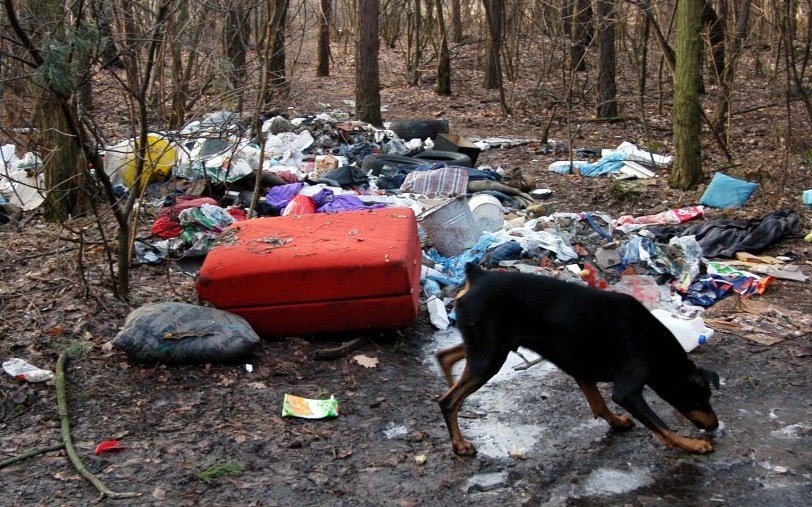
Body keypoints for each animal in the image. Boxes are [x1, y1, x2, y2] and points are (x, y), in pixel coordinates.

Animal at [434, 264, 720, 458]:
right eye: (701, 398)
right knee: (448, 400)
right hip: (490, 355)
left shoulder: (580, 369)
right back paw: (459, 444)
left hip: (488, 345)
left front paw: (617, 423)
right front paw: (694, 444)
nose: (715, 425)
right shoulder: (627, 390)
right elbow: (661, 427)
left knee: (445, 357)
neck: (656, 346)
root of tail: (477, 275)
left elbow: (599, 405)